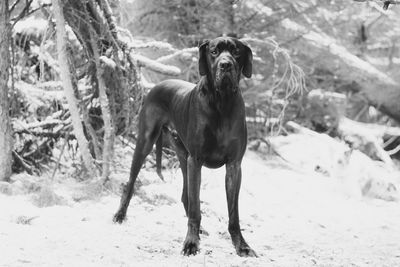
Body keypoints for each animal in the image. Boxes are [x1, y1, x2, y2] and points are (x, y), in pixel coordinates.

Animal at [112, 36, 256, 258]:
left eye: (236, 52)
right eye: (214, 52)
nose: (226, 65)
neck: (221, 102)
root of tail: (159, 84)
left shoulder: (234, 166)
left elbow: (234, 214)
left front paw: (241, 245)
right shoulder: (196, 161)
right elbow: (196, 208)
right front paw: (191, 244)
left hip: (182, 156)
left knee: (184, 195)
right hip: (146, 143)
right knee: (131, 182)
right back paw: (120, 214)